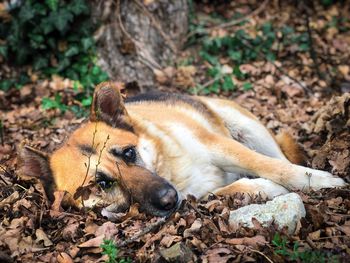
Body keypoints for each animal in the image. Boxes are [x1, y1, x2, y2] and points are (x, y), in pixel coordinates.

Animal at [19, 83, 348, 219]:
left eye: (128, 153)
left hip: (247, 128)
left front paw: (319, 181)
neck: (169, 169)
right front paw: (263, 188)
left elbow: (272, 167)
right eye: (102, 183)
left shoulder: (220, 145)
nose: (168, 199)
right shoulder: (197, 192)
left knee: (279, 159)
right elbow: (228, 189)